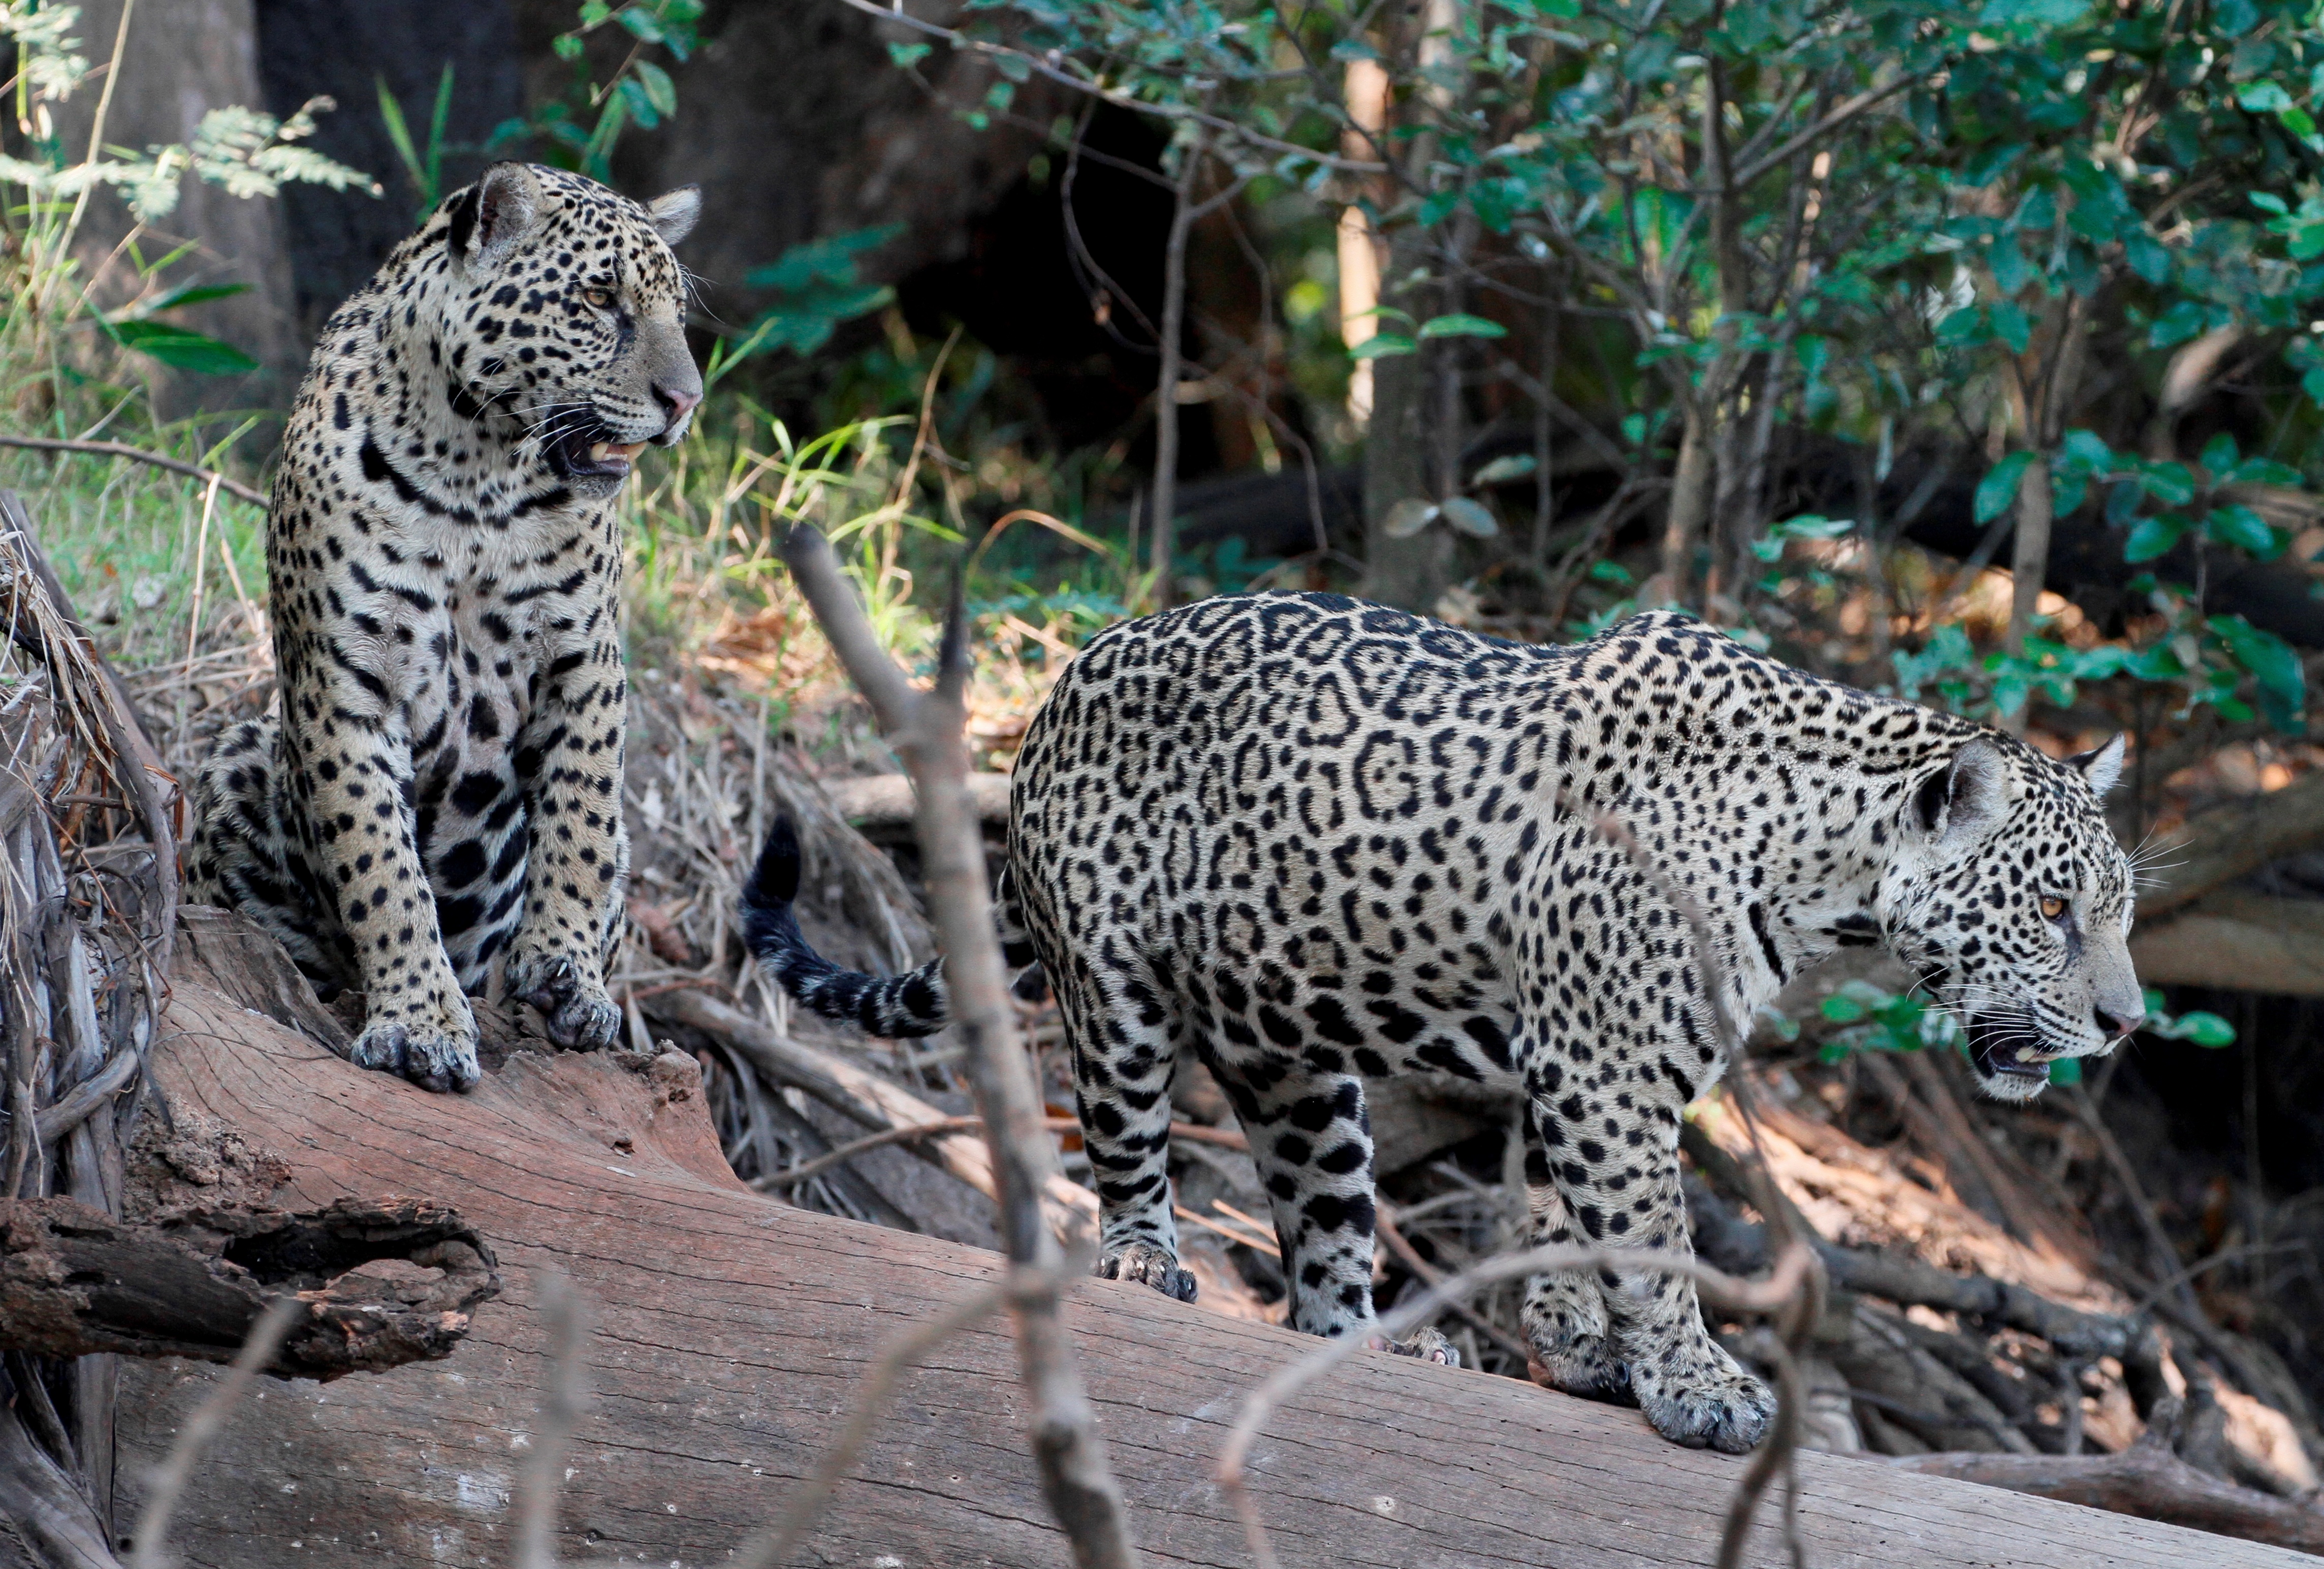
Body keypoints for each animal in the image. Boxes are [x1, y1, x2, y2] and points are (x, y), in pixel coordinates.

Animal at [186, 162, 702, 1093]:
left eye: (676, 311)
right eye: (599, 297)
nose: (686, 400)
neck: (478, 477)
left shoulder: (585, 660)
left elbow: (579, 818)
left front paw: (566, 969)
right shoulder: (343, 680)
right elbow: (379, 862)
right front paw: (419, 1022)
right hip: (239, 755)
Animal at [741, 593, 2144, 1453]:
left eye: (2119, 909)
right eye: (2054, 907)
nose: (2126, 1024)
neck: (1819, 868)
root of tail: (1055, 689)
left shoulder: (1604, 1068)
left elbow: (1578, 1219)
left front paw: (1579, 1347)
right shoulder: (1602, 1062)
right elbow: (1652, 1238)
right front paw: (1695, 1388)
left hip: (1299, 1070)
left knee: (1320, 1241)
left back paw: (1373, 1346)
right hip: (1113, 986)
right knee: (1124, 1138)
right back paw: (1143, 1257)